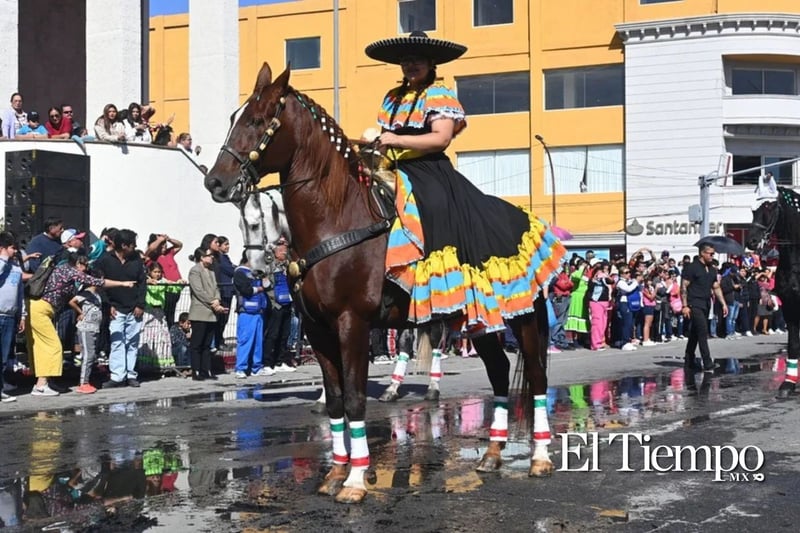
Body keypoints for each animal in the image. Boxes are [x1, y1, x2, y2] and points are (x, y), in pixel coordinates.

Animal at [205, 63, 556, 502]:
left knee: (537, 376)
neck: (338, 220)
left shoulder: (352, 322)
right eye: (233, 118)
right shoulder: (318, 329)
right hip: (479, 320)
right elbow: (337, 400)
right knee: (497, 370)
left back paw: (539, 458)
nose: (215, 183)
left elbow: (356, 399)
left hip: (521, 317)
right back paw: (492, 454)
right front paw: (336, 472)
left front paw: (356, 481)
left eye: (255, 120)